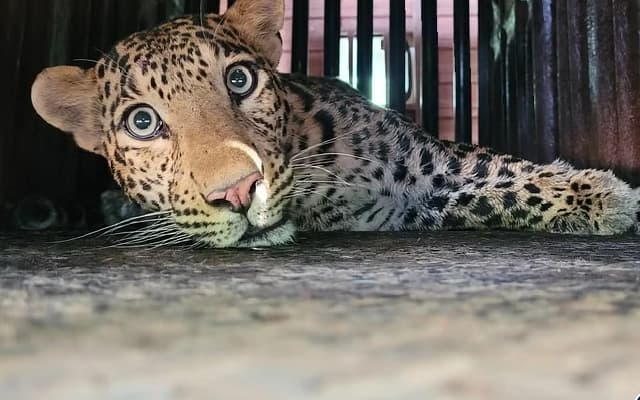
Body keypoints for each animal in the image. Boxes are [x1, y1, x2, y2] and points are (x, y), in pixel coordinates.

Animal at [31, 0, 640, 248]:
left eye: (239, 81)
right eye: (142, 122)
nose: (238, 191)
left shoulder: (426, 157)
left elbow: (494, 174)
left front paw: (594, 193)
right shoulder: (394, 211)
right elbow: (476, 197)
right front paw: (605, 199)